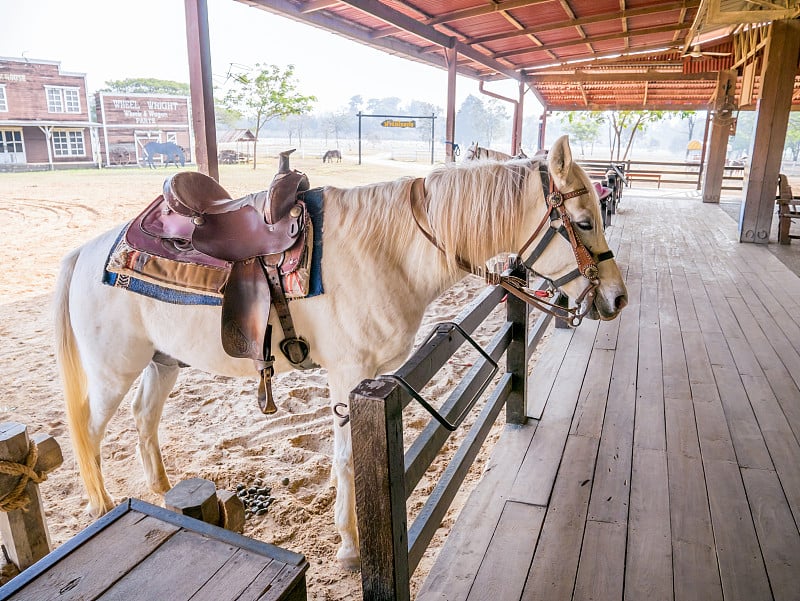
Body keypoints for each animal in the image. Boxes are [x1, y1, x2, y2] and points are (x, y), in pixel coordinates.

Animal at [54, 135, 632, 568]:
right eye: (584, 222)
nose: (617, 298)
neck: (388, 249)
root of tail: (87, 251)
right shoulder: (349, 374)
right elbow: (347, 457)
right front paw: (351, 546)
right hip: (113, 371)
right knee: (90, 430)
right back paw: (103, 506)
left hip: (162, 362)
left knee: (143, 417)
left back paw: (162, 488)